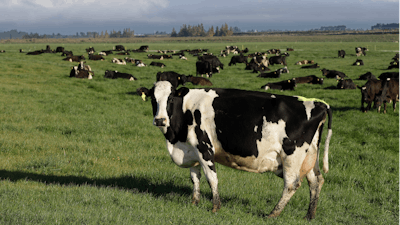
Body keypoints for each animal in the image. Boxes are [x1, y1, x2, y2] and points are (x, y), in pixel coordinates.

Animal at [139, 80, 332, 220]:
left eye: (171, 99)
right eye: (153, 99)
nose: (160, 120)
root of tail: (319, 103)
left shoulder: (204, 147)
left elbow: (212, 178)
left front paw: (215, 207)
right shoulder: (191, 149)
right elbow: (195, 178)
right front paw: (195, 202)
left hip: (292, 154)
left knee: (292, 184)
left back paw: (273, 214)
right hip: (309, 156)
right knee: (316, 181)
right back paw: (309, 216)